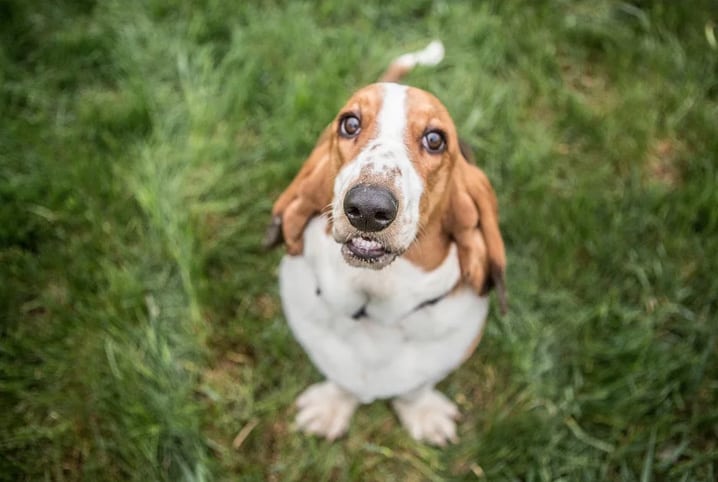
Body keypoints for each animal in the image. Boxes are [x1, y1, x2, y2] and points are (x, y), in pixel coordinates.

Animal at [264, 39, 506, 446]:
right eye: (350, 123)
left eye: (435, 139)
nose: (367, 207)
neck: (373, 304)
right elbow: (341, 380)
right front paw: (331, 408)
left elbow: (415, 389)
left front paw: (422, 414)